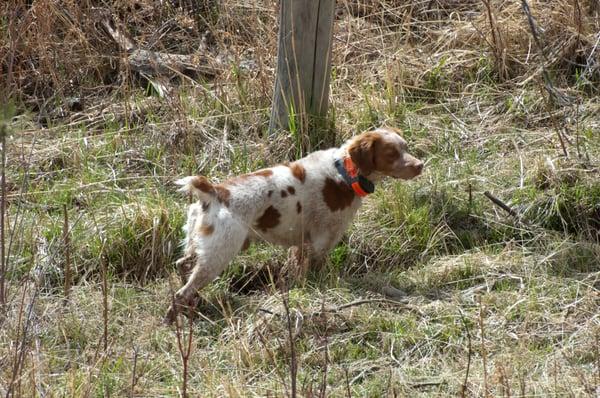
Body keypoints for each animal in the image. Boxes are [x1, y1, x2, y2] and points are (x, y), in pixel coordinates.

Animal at [166, 126, 424, 324]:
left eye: (405, 147)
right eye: (391, 153)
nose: (420, 165)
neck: (344, 174)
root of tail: (214, 192)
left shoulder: (302, 245)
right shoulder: (320, 243)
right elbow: (314, 275)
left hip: (202, 248)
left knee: (182, 265)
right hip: (219, 254)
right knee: (180, 293)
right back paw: (174, 321)